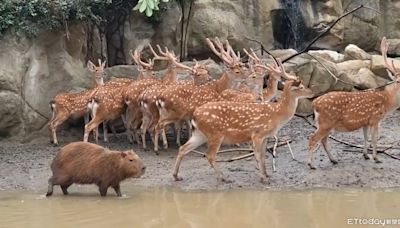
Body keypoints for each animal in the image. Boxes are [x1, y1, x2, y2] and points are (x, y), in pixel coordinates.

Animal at [172, 59, 312, 183]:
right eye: (301, 87)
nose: (312, 93)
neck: (276, 115)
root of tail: (195, 115)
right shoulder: (257, 134)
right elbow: (257, 155)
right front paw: (263, 178)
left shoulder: (266, 136)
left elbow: (263, 156)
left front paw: (267, 174)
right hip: (215, 134)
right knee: (209, 155)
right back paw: (224, 178)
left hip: (200, 134)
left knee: (183, 148)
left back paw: (176, 176)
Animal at [308, 37, 400, 169]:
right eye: (397, 81)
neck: (387, 101)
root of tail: (314, 103)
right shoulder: (375, 118)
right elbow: (374, 139)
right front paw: (376, 158)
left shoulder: (365, 121)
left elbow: (365, 137)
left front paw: (366, 155)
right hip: (326, 122)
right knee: (313, 138)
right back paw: (311, 164)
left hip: (324, 124)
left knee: (323, 140)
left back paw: (333, 160)